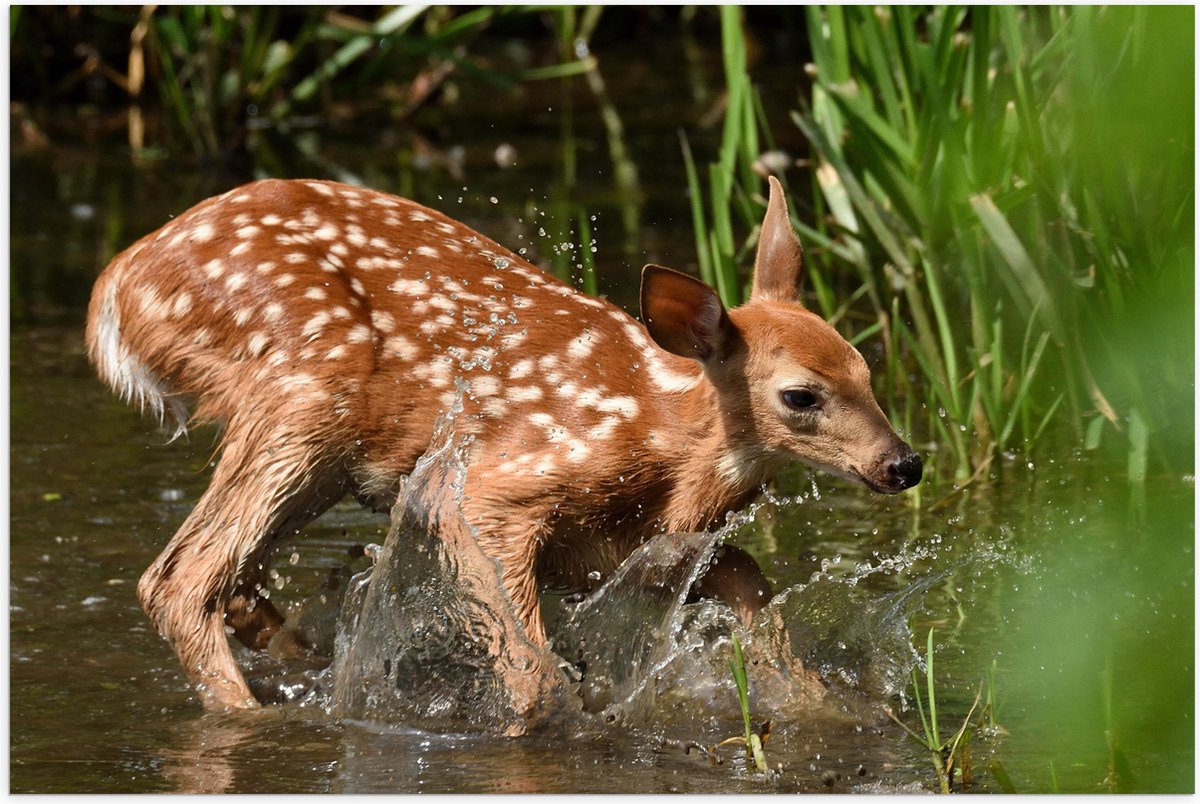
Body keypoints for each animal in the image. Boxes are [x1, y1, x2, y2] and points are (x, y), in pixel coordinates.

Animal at [88, 176, 921, 710]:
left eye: (866, 367)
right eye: (800, 396)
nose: (903, 463)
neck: (664, 440)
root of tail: (117, 285)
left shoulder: (626, 552)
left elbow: (752, 584)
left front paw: (821, 702)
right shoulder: (503, 486)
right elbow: (529, 663)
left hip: (317, 453)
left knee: (234, 580)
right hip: (302, 394)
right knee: (179, 579)